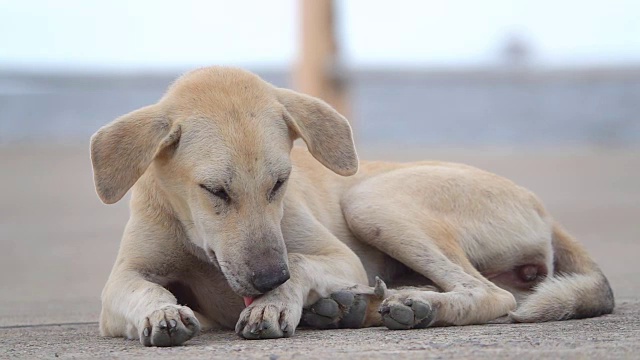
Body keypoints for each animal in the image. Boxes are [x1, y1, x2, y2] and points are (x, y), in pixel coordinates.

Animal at [90, 67, 616, 346]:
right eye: (215, 191)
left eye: (280, 182)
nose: (268, 279)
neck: (195, 238)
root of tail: (543, 208)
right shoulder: (121, 282)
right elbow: (144, 290)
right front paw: (162, 313)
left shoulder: (337, 257)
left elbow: (303, 263)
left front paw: (276, 304)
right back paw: (350, 308)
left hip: (371, 200)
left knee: (493, 294)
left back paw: (417, 306)